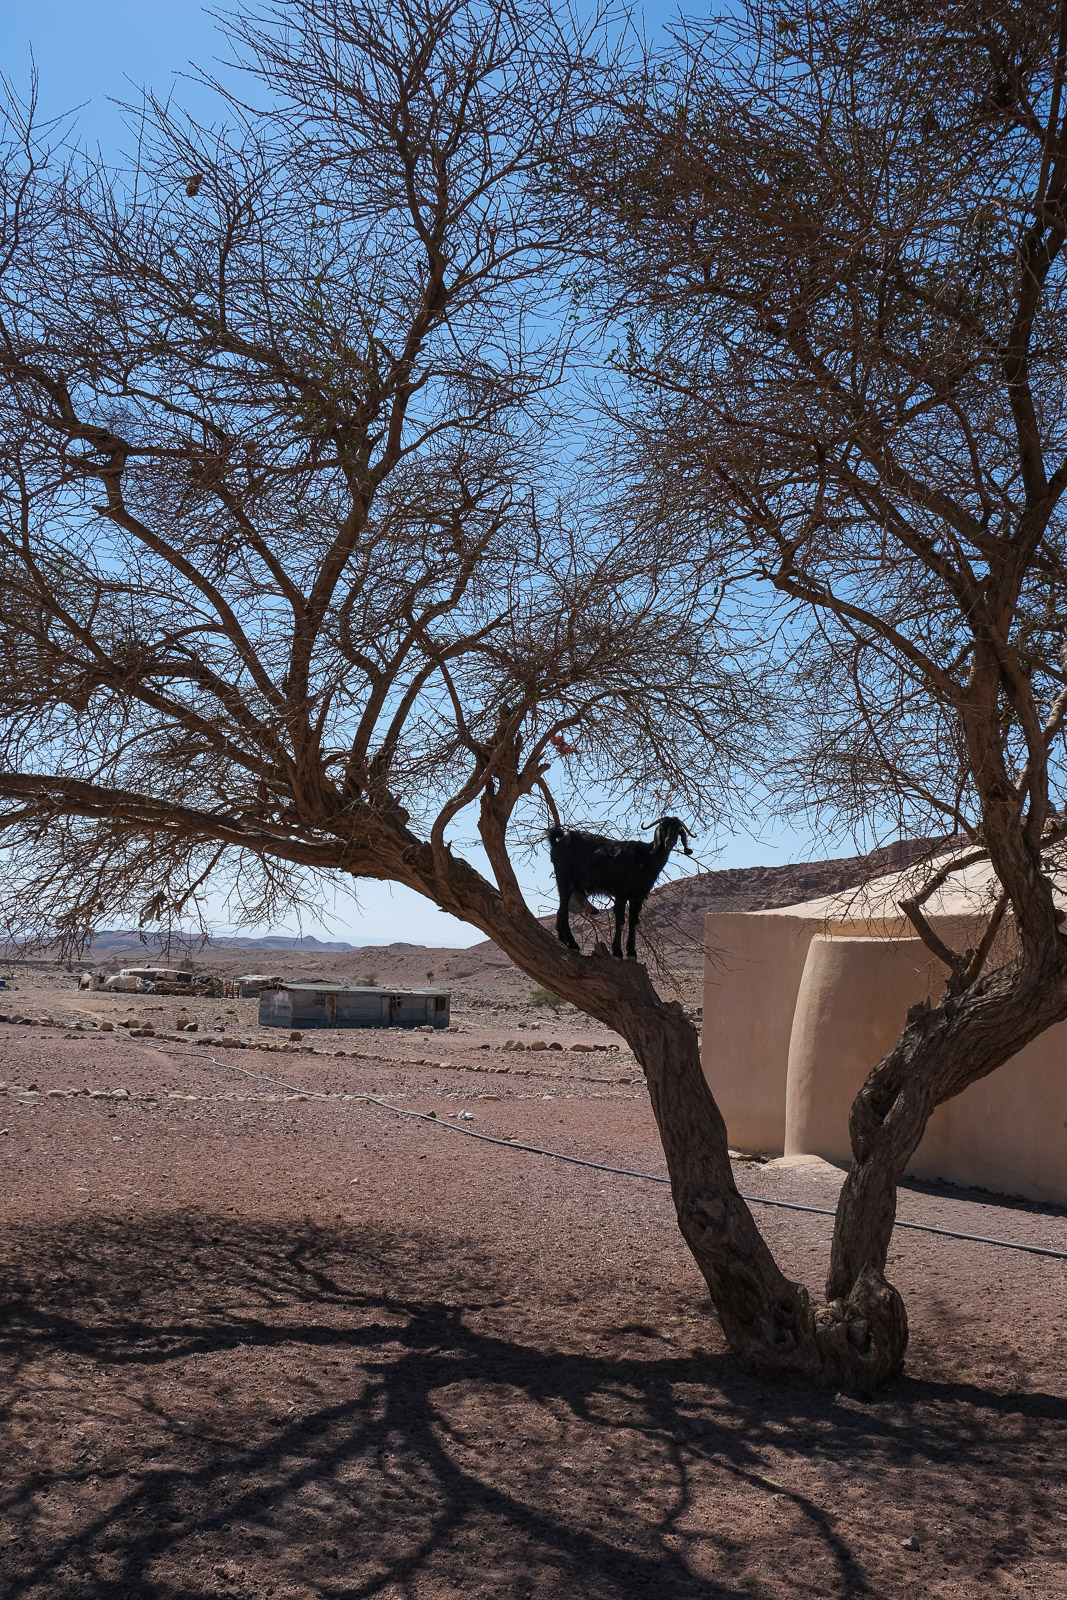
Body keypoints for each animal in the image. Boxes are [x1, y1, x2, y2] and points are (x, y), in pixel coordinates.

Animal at [548, 816, 693, 959]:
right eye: (663, 827)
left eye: (678, 829)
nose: (670, 841)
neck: (645, 858)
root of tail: (558, 843)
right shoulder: (621, 893)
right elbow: (621, 921)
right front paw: (617, 951)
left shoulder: (637, 897)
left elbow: (633, 922)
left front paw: (632, 953)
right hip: (564, 879)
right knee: (563, 911)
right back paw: (573, 944)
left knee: (560, 910)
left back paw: (563, 940)